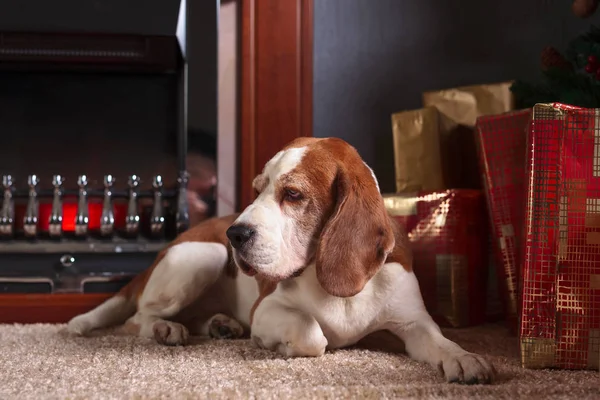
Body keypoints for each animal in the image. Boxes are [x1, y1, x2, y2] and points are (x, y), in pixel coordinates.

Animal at [68, 137, 494, 384]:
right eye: (256, 190)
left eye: (292, 194)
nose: (235, 234)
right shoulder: (267, 309)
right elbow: (312, 333)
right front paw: (280, 346)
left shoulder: (414, 322)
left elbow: (441, 341)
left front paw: (466, 358)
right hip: (205, 255)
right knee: (136, 319)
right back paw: (166, 329)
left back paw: (221, 325)